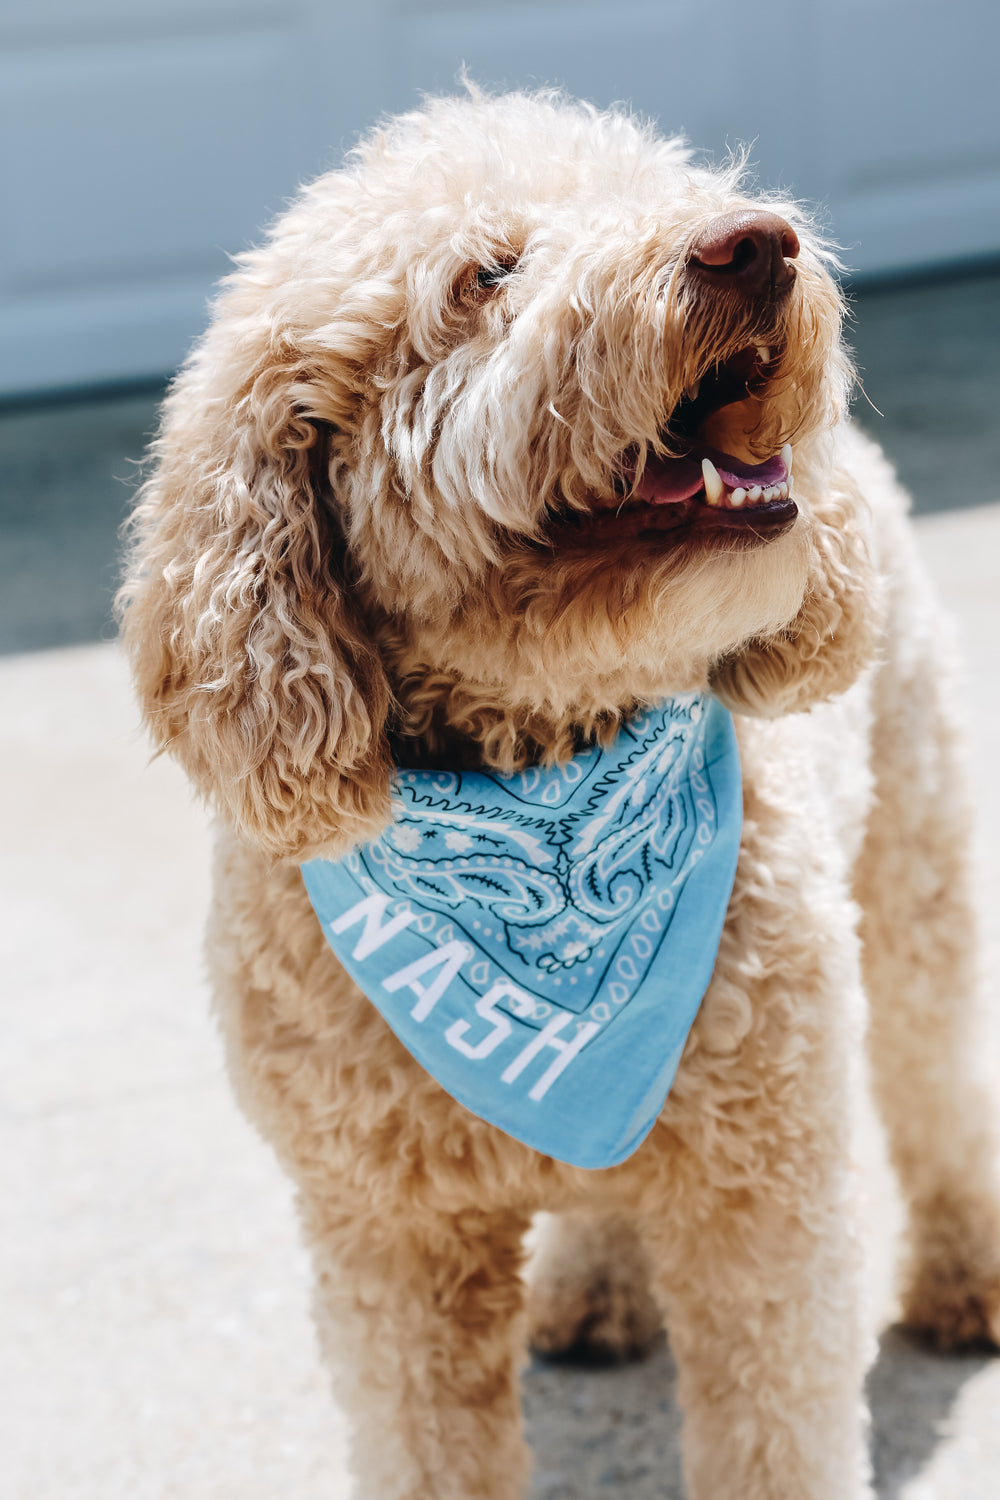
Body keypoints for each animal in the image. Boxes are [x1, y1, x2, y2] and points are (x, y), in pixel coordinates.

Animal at [117, 87, 1000, 1494]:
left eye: (660, 188)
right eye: (485, 275)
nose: (753, 243)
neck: (546, 777)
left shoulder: (764, 1203)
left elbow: (778, 1432)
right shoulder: (388, 1241)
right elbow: (428, 1445)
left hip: (915, 872)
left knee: (940, 1081)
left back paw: (965, 1277)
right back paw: (597, 1291)